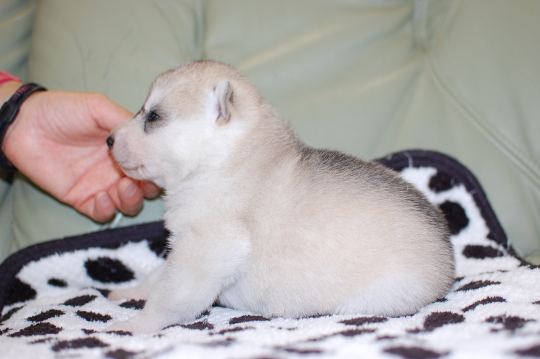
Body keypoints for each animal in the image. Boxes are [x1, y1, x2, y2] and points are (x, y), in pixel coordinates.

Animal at [106, 61, 456, 334]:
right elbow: (158, 275)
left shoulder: (207, 247)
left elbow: (171, 295)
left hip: (378, 295)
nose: (108, 139)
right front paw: (131, 291)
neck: (224, 158)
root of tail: (448, 259)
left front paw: (136, 323)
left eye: (153, 116)